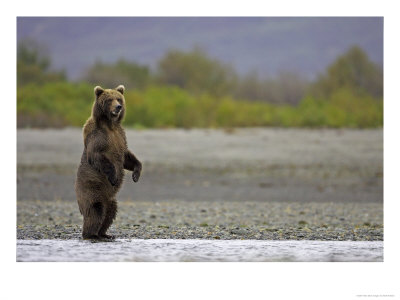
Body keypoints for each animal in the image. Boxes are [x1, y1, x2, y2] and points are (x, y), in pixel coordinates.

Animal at [75, 84, 142, 239]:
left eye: (119, 98)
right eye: (109, 99)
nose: (118, 107)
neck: (110, 125)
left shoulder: (120, 136)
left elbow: (127, 157)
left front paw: (136, 174)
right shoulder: (98, 137)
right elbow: (97, 157)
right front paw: (113, 177)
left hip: (110, 199)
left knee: (110, 212)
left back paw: (105, 234)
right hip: (91, 191)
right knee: (95, 211)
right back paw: (91, 234)